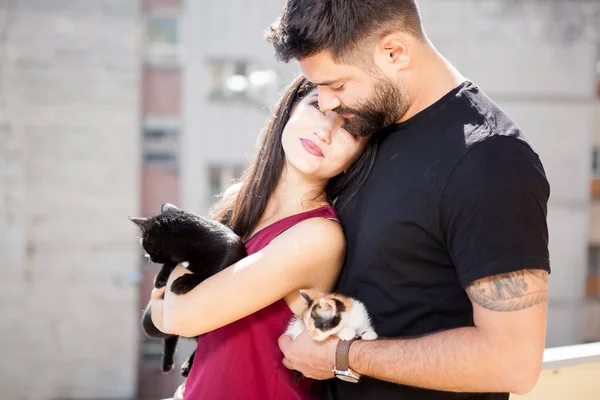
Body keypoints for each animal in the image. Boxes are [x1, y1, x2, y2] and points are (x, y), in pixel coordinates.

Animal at [129, 203, 246, 376]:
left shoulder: (229, 248)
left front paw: (183, 282)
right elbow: (172, 262)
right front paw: (161, 278)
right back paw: (169, 364)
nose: (151, 259)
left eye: (146, 244)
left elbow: (209, 272)